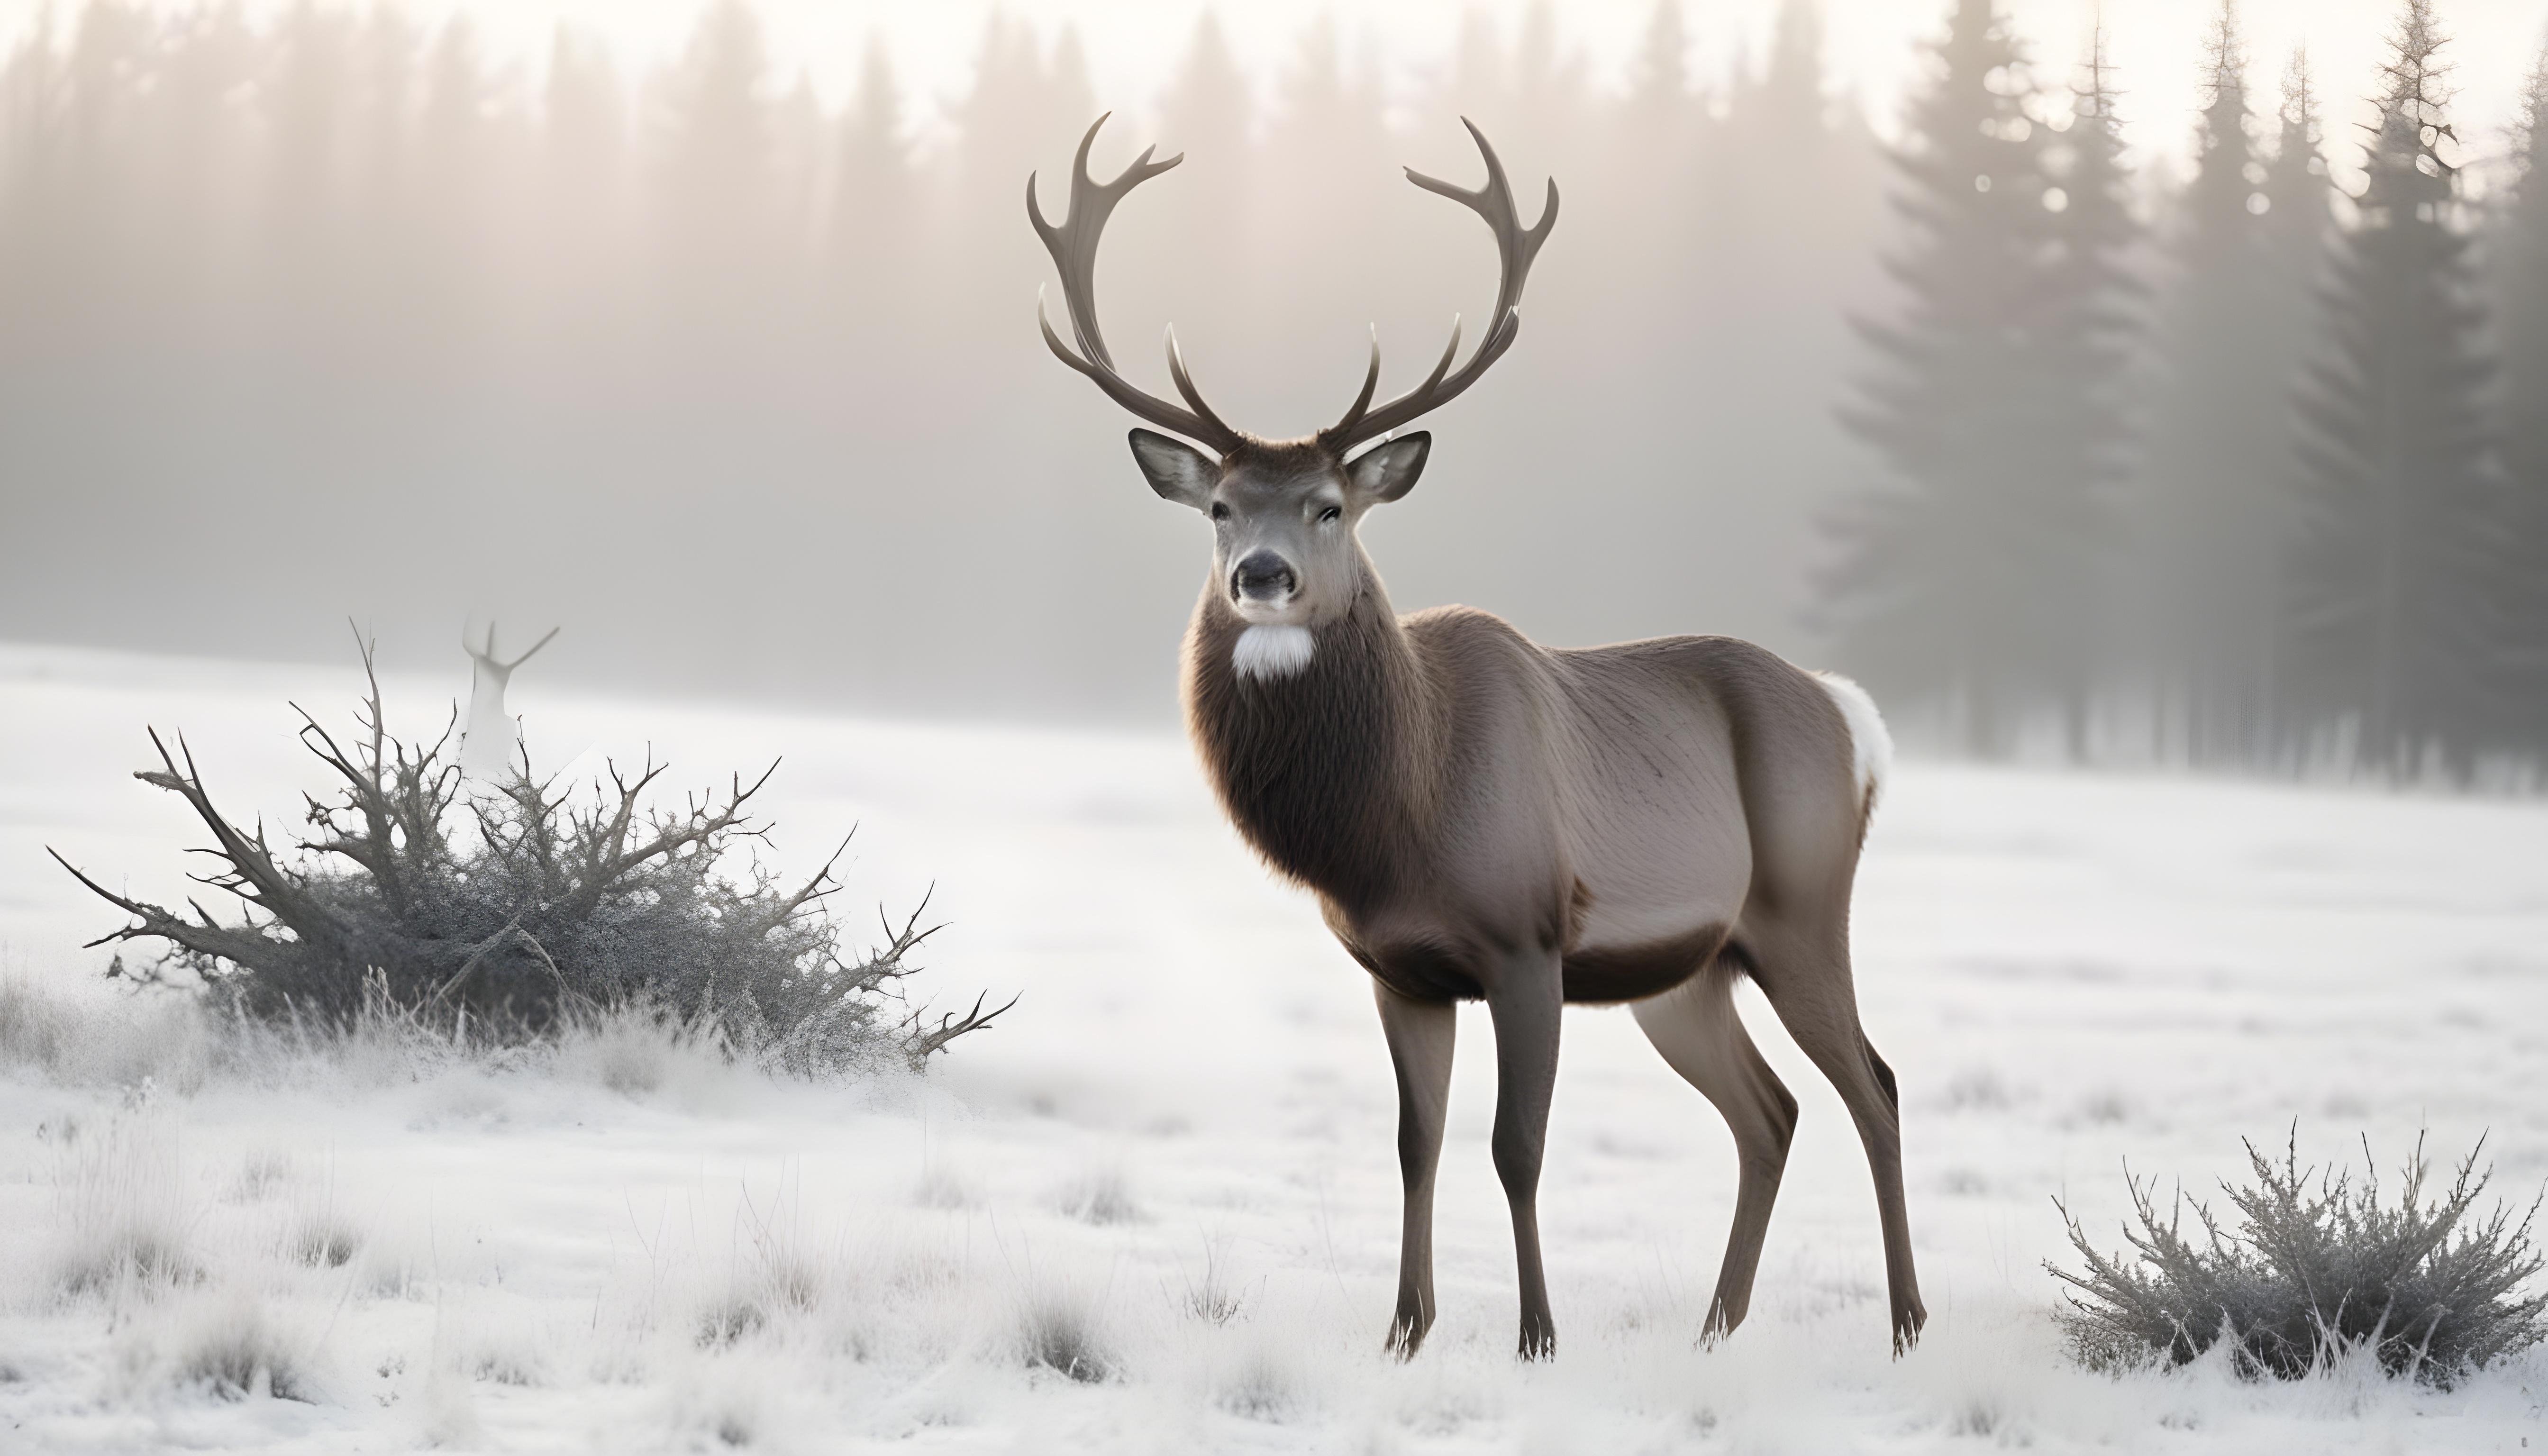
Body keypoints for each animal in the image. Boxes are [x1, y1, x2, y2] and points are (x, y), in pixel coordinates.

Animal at [1029, 116, 1924, 1360]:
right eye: (1219, 507)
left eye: (1331, 507)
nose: (1261, 576)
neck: (1400, 819)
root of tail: (1856, 722)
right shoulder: (1399, 968)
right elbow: (1416, 1142)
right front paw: (1405, 1329)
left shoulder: (1526, 937)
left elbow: (1517, 1146)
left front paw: (1537, 1334)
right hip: (1690, 971)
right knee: (1771, 1110)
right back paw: (1716, 1326)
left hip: (1802, 910)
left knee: (1874, 1085)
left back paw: (1906, 1324)